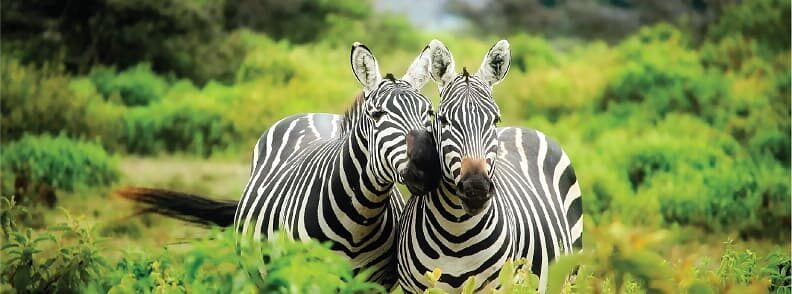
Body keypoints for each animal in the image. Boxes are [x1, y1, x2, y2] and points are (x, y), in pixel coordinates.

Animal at [116, 41, 446, 288]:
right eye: (377, 115)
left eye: (429, 113)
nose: (428, 166)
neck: (359, 220)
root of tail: (313, 114)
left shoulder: (372, 284)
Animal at [396, 40, 580, 292]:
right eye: (443, 120)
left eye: (495, 120)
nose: (476, 189)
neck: (456, 233)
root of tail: (524, 128)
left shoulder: (500, 285)